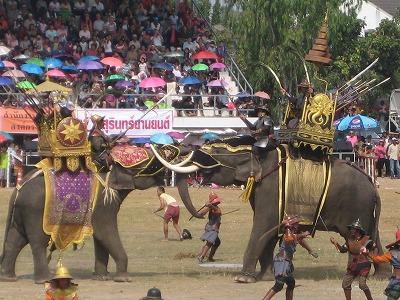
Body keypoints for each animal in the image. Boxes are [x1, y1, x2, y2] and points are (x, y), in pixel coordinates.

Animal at [0, 145, 203, 284]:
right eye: (150, 163)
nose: (200, 216)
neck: (107, 167)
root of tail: (17, 189)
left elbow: (100, 238)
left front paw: (102, 277)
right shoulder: (102, 206)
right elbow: (106, 233)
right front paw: (123, 279)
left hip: (22, 213)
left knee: (14, 241)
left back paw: (9, 278)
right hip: (34, 211)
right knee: (37, 242)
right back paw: (44, 280)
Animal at [151, 138, 388, 284]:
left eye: (215, 153)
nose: (201, 213)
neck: (260, 152)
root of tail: (372, 183)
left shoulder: (270, 189)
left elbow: (263, 225)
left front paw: (243, 279)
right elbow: (271, 231)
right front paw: (264, 276)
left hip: (356, 206)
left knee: (355, 239)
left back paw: (357, 276)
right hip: (365, 211)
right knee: (371, 237)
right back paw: (379, 277)